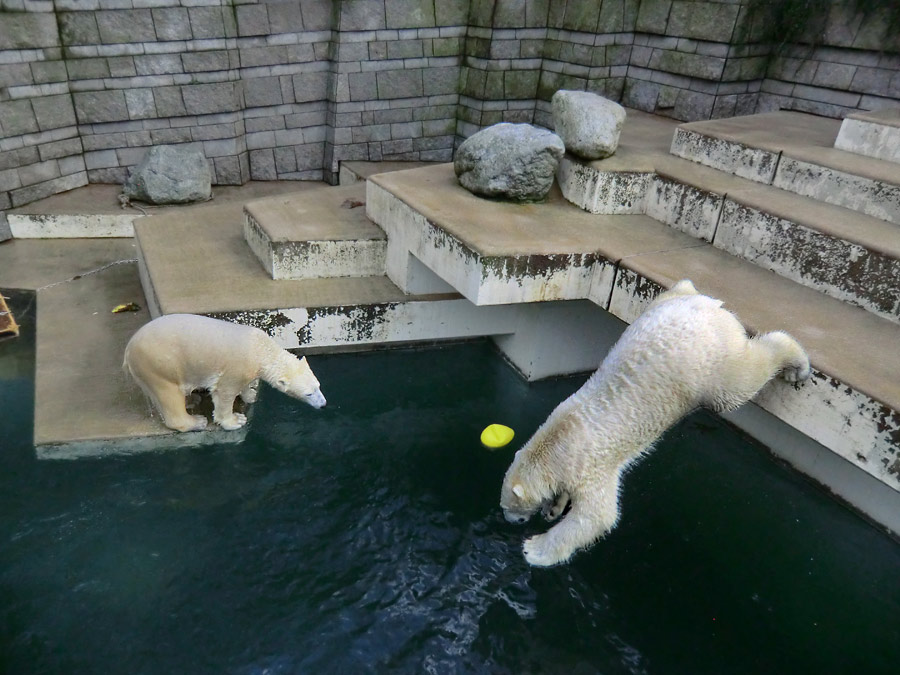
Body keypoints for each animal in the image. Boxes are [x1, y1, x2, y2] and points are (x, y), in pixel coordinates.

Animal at [122, 312, 326, 434]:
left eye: (318, 386)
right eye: (309, 393)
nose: (323, 404)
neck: (259, 348)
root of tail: (128, 350)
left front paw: (251, 394)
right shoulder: (236, 367)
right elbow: (224, 392)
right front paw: (235, 420)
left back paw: (192, 399)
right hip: (158, 364)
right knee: (169, 394)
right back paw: (196, 421)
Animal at [502, 282, 812, 568]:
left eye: (509, 506)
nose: (511, 521)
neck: (556, 444)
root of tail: (707, 306)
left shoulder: (590, 467)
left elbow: (596, 517)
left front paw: (534, 549)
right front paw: (553, 508)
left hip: (710, 361)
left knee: (739, 383)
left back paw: (796, 365)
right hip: (662, 308)